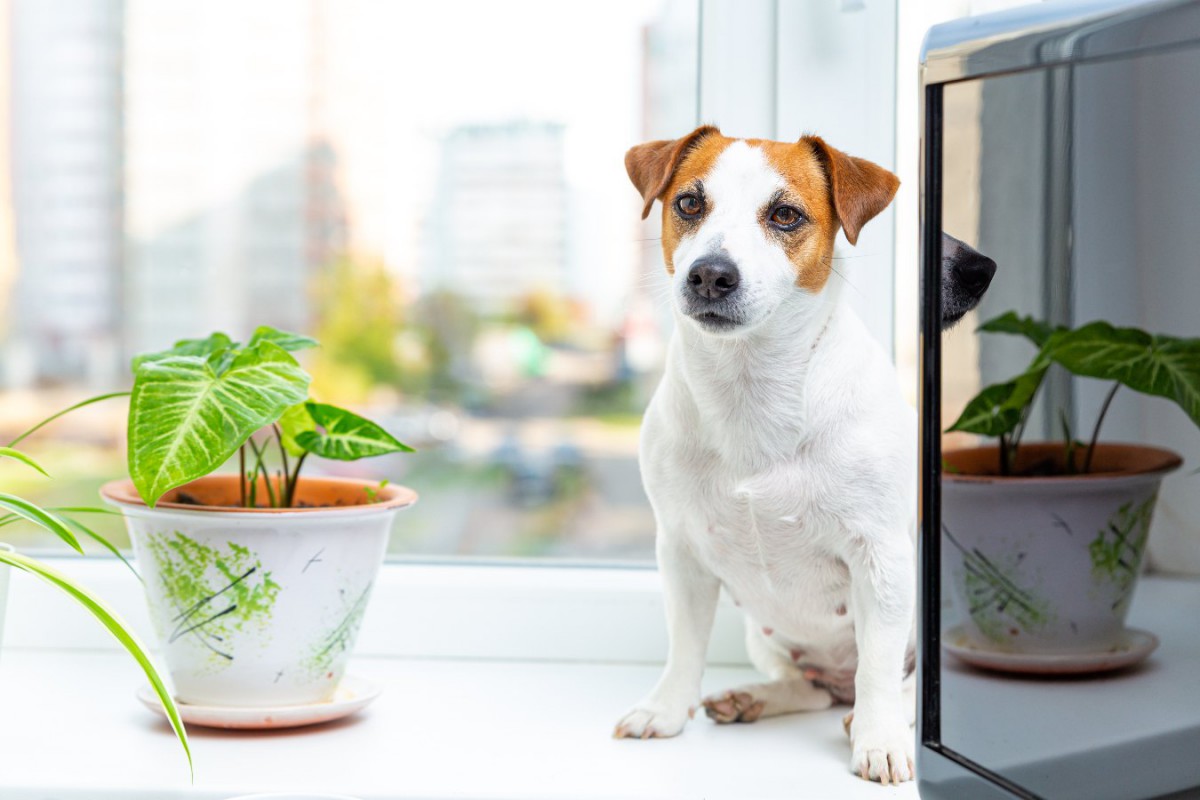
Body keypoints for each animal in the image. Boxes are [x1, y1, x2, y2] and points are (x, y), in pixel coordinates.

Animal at [614, 128, 912, 786]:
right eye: (689, 203)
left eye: (785, 215)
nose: (710, 275)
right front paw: (666, 709)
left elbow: (879, 668)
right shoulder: (681, 550)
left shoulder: (881, 557)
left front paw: (880, 741)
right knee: (813, 688)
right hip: (767, 637)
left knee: (889, 686)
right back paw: (757, 696)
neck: (750, 389)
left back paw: (875, 719)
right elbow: (684, 644)